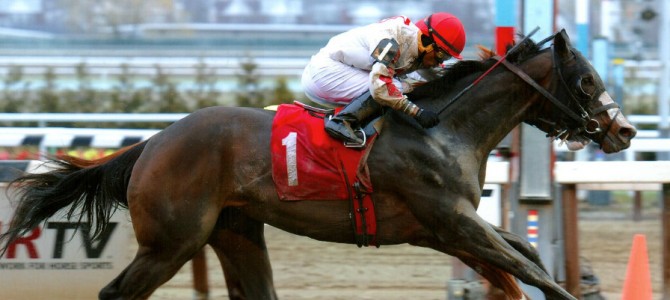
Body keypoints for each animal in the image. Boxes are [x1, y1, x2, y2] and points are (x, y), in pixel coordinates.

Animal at [0, 31, 636, 300]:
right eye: (586, 80)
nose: (624, 130)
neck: (443, 130)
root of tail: (150, 144)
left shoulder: (445, 229)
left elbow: (524, 258)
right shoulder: (449, 221)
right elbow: (529, 269)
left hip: (235, 230)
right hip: (170, 241)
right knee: (115, 294)